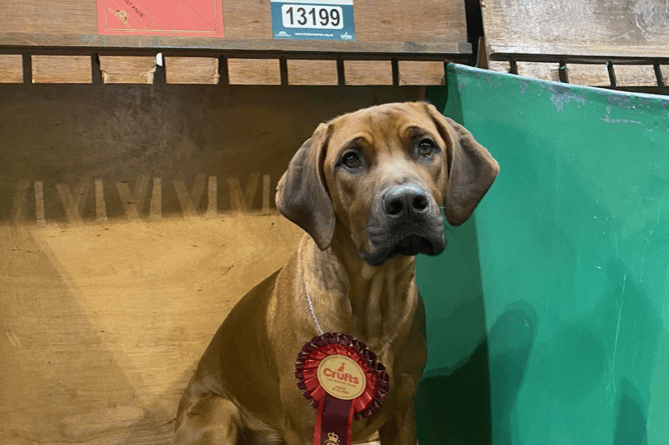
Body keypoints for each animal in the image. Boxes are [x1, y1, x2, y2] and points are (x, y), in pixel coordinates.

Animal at [172, 101, 496, 444]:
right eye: (350, 159)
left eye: (425, 146)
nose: (407, 201)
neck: (373, 309)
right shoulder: (304, 426)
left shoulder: (402, 414)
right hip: (218, 414)